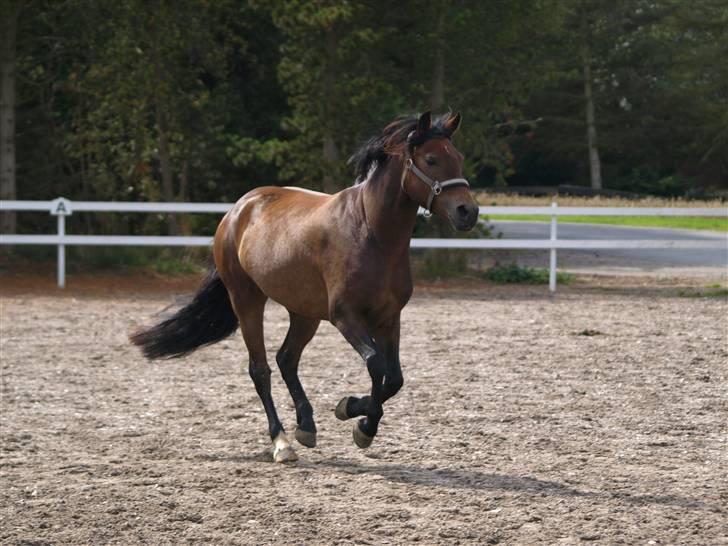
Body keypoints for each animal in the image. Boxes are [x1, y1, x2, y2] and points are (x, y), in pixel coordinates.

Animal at [132, 110, 480, 460]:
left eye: (459, 158)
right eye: (431, 159)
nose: (468, 211)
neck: (371, 233)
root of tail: (237, 211)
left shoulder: (388, 317)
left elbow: (394, 379)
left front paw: (353, 414)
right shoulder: (345, 317)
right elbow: (375, 364)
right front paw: (358, 420)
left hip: (304, 312)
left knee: (286, 358)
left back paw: (306, 426)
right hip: (247, 300)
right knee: (260, 369)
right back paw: (281, 441)